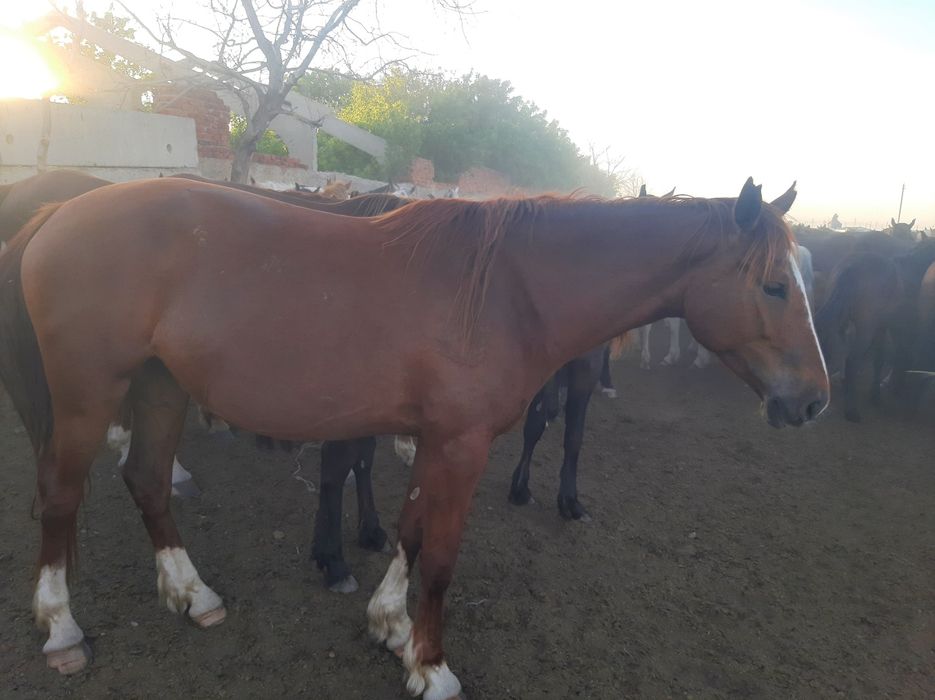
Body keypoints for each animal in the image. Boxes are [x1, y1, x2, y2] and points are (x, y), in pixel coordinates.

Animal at [0, 176, 827, 698]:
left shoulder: (431, 439)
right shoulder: (461, 443)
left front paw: (388, 624)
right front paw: (430, 667)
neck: (509, 291)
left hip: (160, 386)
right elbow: (442, 558)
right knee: (60, 495)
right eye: (772, 285)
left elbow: (408, 530)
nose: (815, 400)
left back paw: (192, 593)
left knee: (145, 478)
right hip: (88, 395)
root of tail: (60, 210)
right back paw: (62, 629)